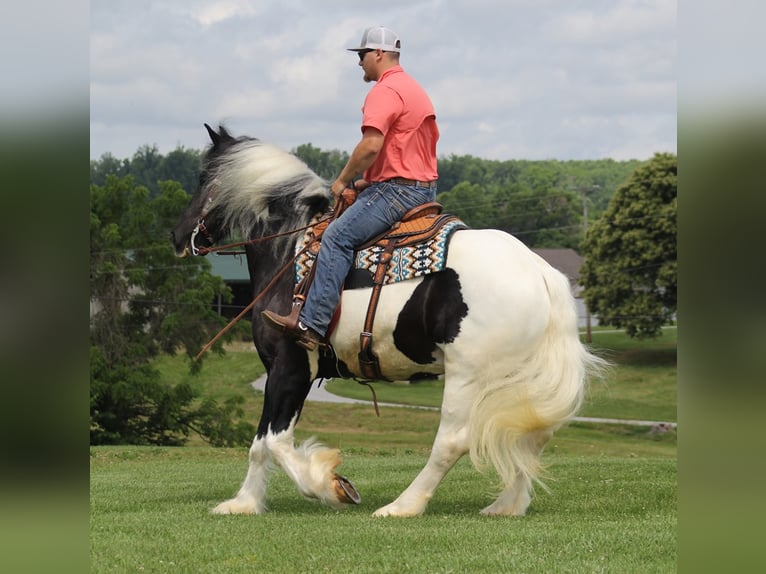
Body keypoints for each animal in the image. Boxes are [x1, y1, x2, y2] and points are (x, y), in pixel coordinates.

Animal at [172, 124, 608, 520]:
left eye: (203, 178)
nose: (178, 236)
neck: (291, 252)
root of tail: (540, 271)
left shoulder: (289, 365)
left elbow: (272, 442)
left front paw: (330, 486)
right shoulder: (290, 371)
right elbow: (263, 442)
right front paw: (245, 502)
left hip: (468, 376)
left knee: (454, 440)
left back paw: (403, 506)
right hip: (515, 378)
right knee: (531, 433)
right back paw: (505, 505)